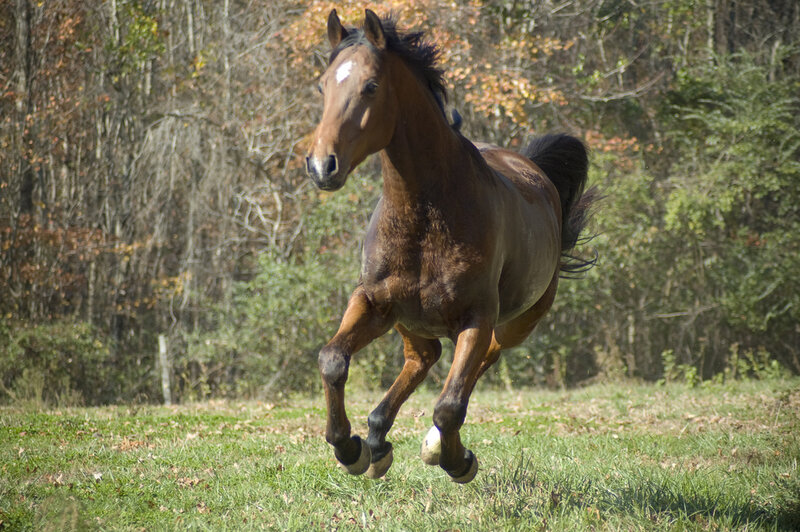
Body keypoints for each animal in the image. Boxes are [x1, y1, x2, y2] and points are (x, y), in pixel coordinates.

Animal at [305, 9, 595, 483]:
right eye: (322, 86)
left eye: (371, 86)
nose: (321, 165)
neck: (425, 215)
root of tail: (535, 169)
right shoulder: (373, 301)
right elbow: (332, 359)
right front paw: (349, 448)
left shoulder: (476, 316)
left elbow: (450, 405)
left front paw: (457, 460)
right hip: (408, 318)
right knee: (424, 356)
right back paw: (377, 438)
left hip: (518, 320)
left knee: (480, 359)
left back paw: (428, 443)